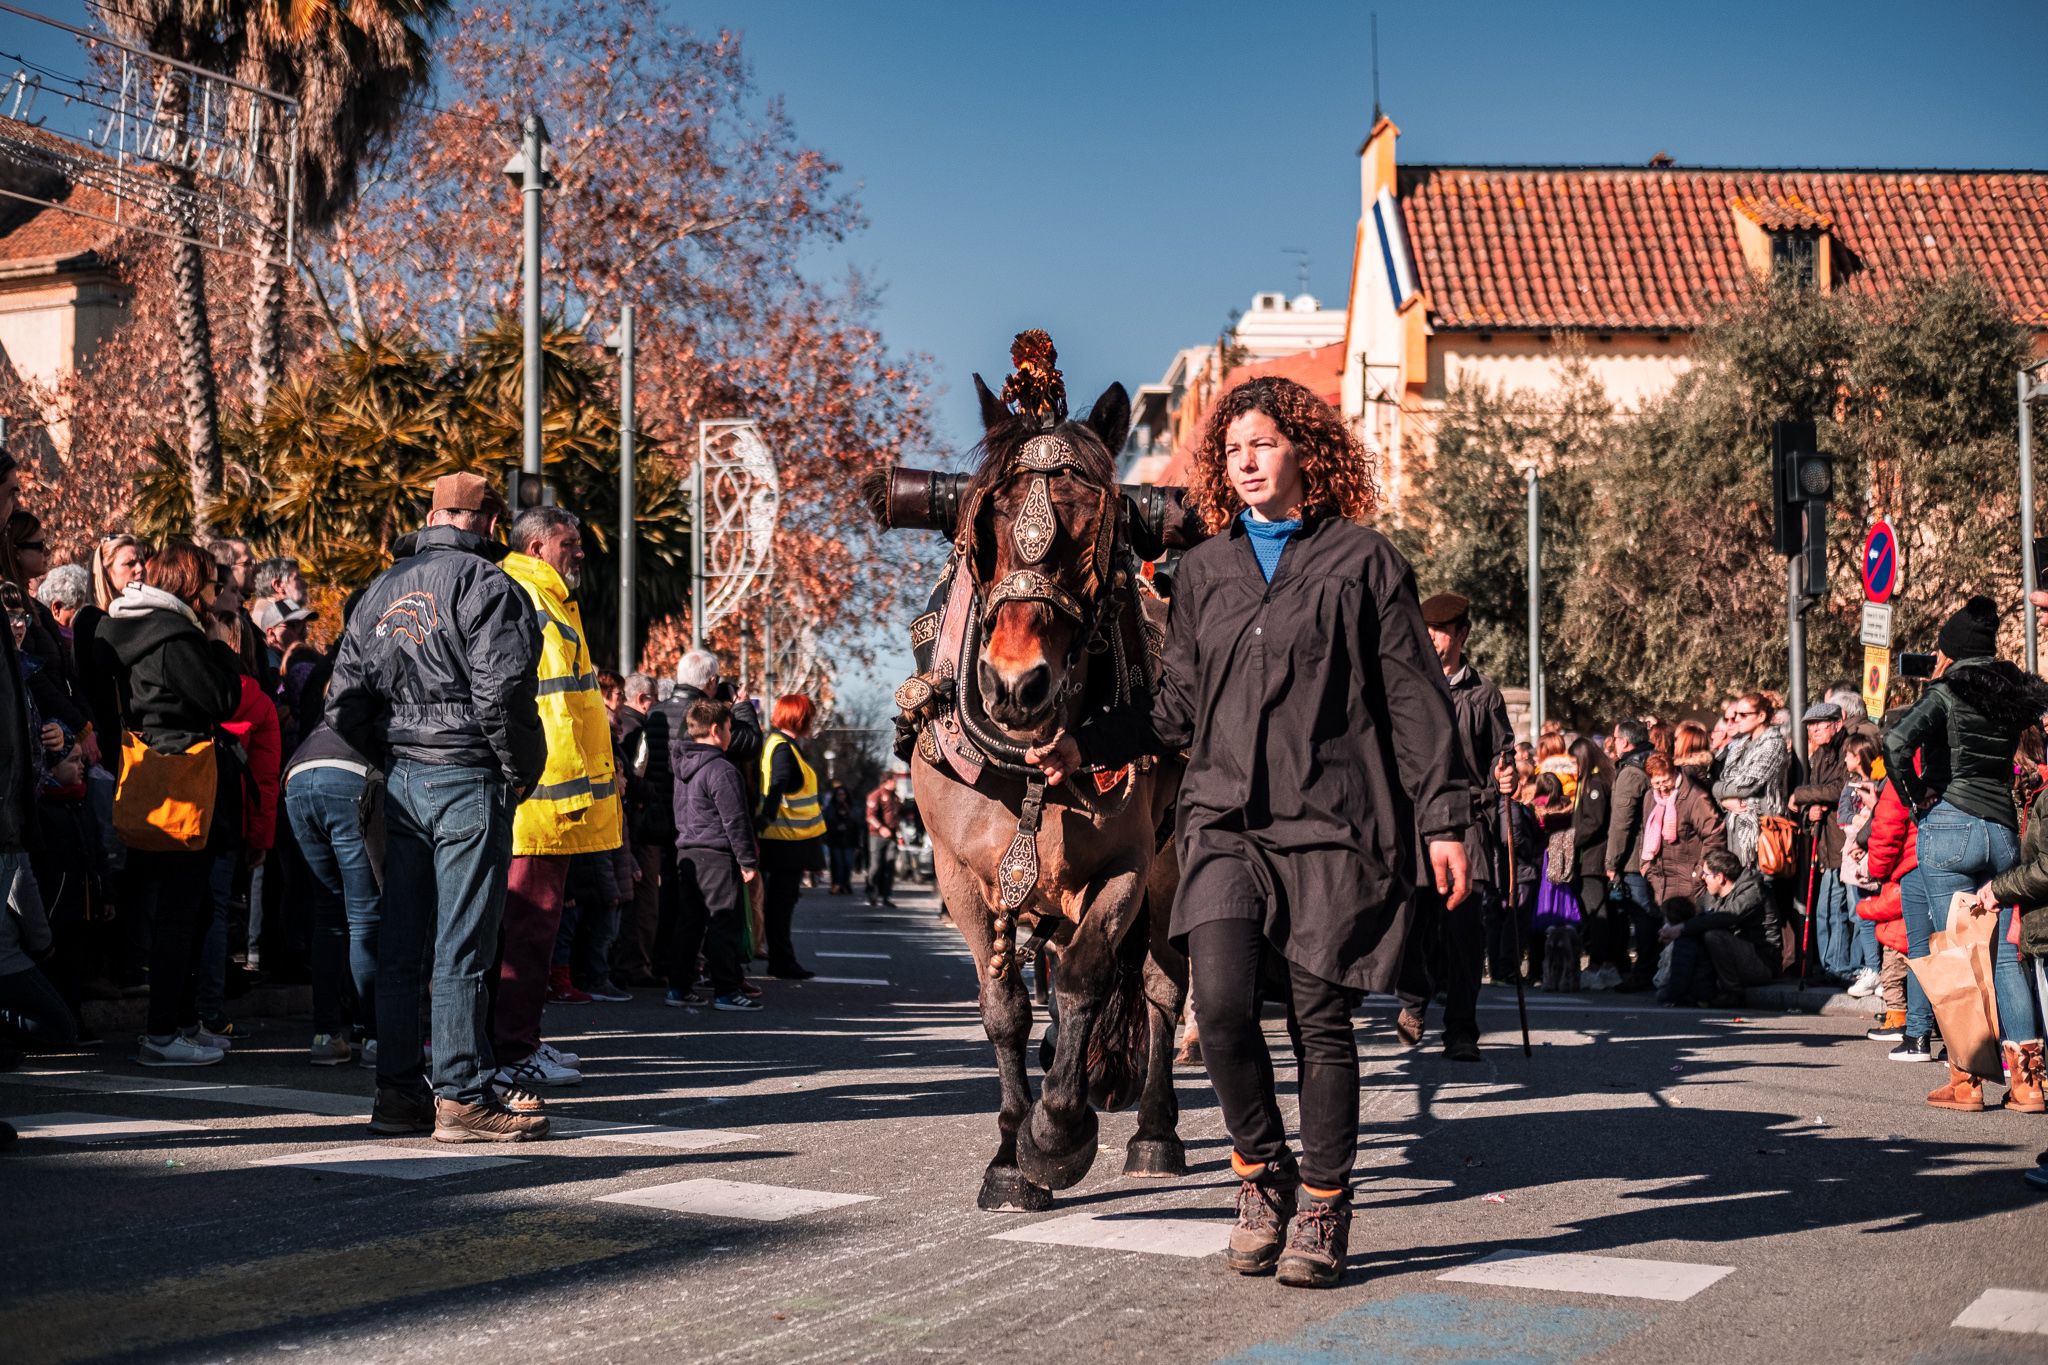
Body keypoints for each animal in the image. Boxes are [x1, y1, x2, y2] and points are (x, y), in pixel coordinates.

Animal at [884, 368, 1196, 1211]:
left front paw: (1055, 1132)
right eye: (985, 519)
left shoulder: (1125, 866)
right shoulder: (959, 876)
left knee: (1159, 983)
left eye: (1094, 520)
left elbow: (1090, 974)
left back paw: (1155, 1131)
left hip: (1172, 863)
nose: (1014, 684)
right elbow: (1005, 1008)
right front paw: (1008, 1158)